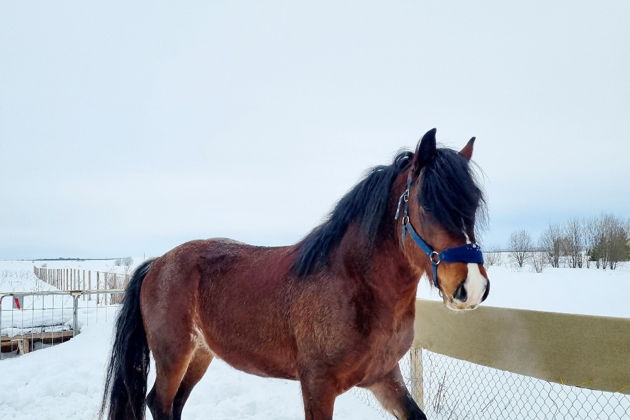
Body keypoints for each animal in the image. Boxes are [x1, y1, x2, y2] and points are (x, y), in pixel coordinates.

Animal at [101, 129, 492, 420]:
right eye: (426, 204)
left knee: (175, 403)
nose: (471, 287)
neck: (354, 285)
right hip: (173, 354)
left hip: (199, 354)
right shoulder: (318, 385)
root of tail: (158, 263)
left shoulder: (384, 376)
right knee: (160, 402)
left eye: (473, 205)